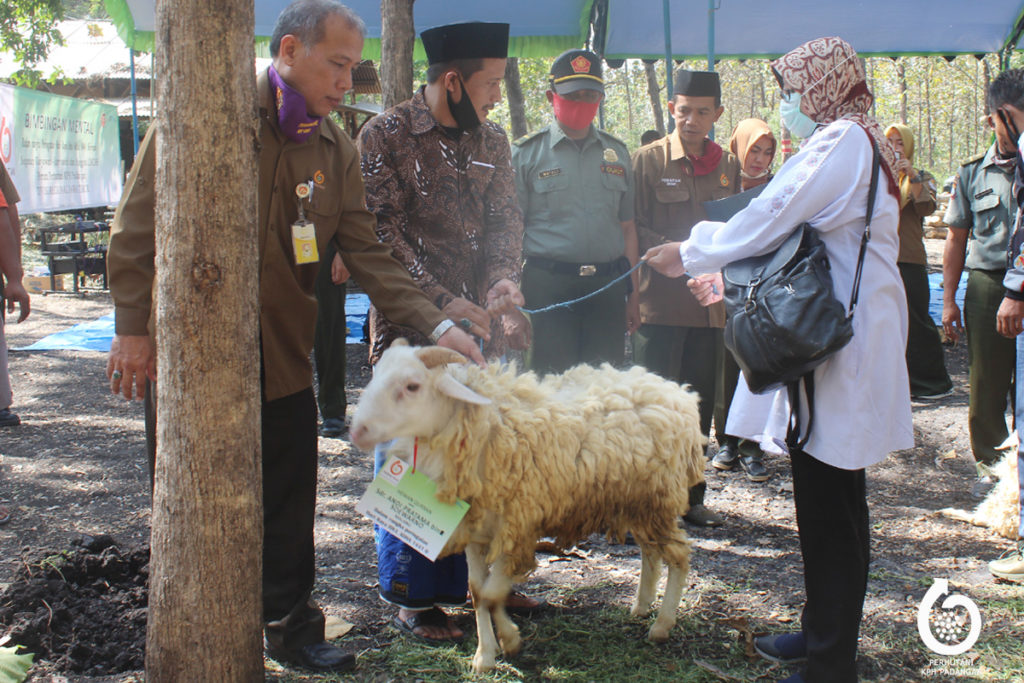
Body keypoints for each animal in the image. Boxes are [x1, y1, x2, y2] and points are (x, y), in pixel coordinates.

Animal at [348, 342, 708, 671]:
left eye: (412, 386)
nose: (358, 431)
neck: (487, 430)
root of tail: (677, 393)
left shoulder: (517, 527)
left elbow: (492, 594)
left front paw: (509, 640)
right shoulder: (475, 530)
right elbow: (478, 592)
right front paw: (486, 655)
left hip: (656, 501)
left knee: (678, 556)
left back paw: (661, 625)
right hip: (637, 503)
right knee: (650, 552)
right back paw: (641, 605)